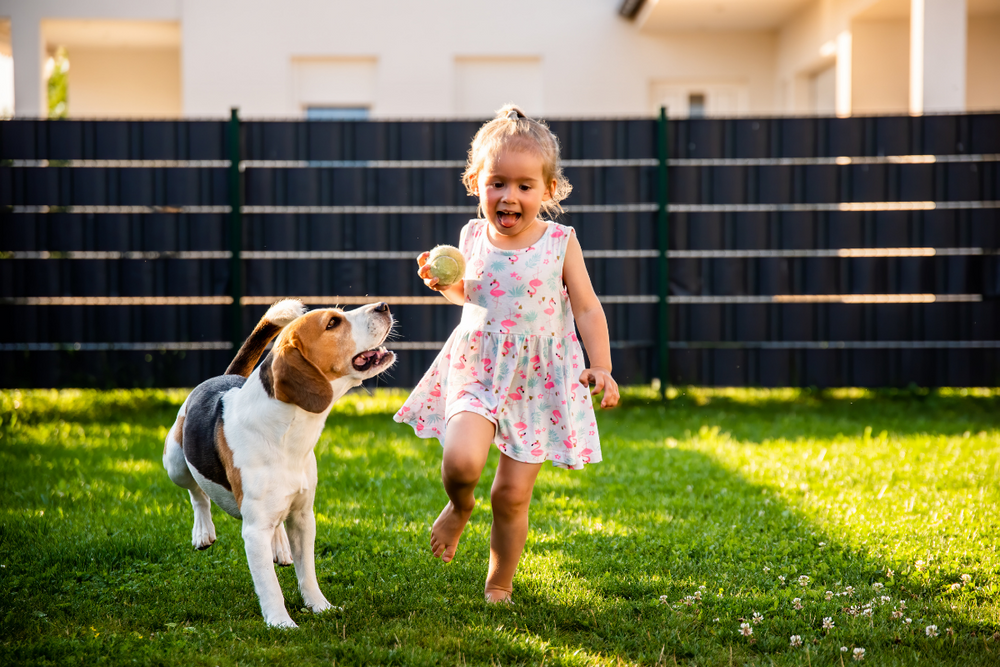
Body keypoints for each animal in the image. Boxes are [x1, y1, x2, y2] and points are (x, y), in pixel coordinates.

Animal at [163, 300, 394, 628]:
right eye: (332, 323)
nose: (383, 306)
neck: (287, 435)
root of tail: (219, 378)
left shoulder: (303, 517)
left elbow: (307, 572)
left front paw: (319, 606)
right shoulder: (254, 531)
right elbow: (269, 583)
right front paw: (281, 623)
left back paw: (281, 546)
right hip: (175, 463)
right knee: (197, 493)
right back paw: (203, 531)